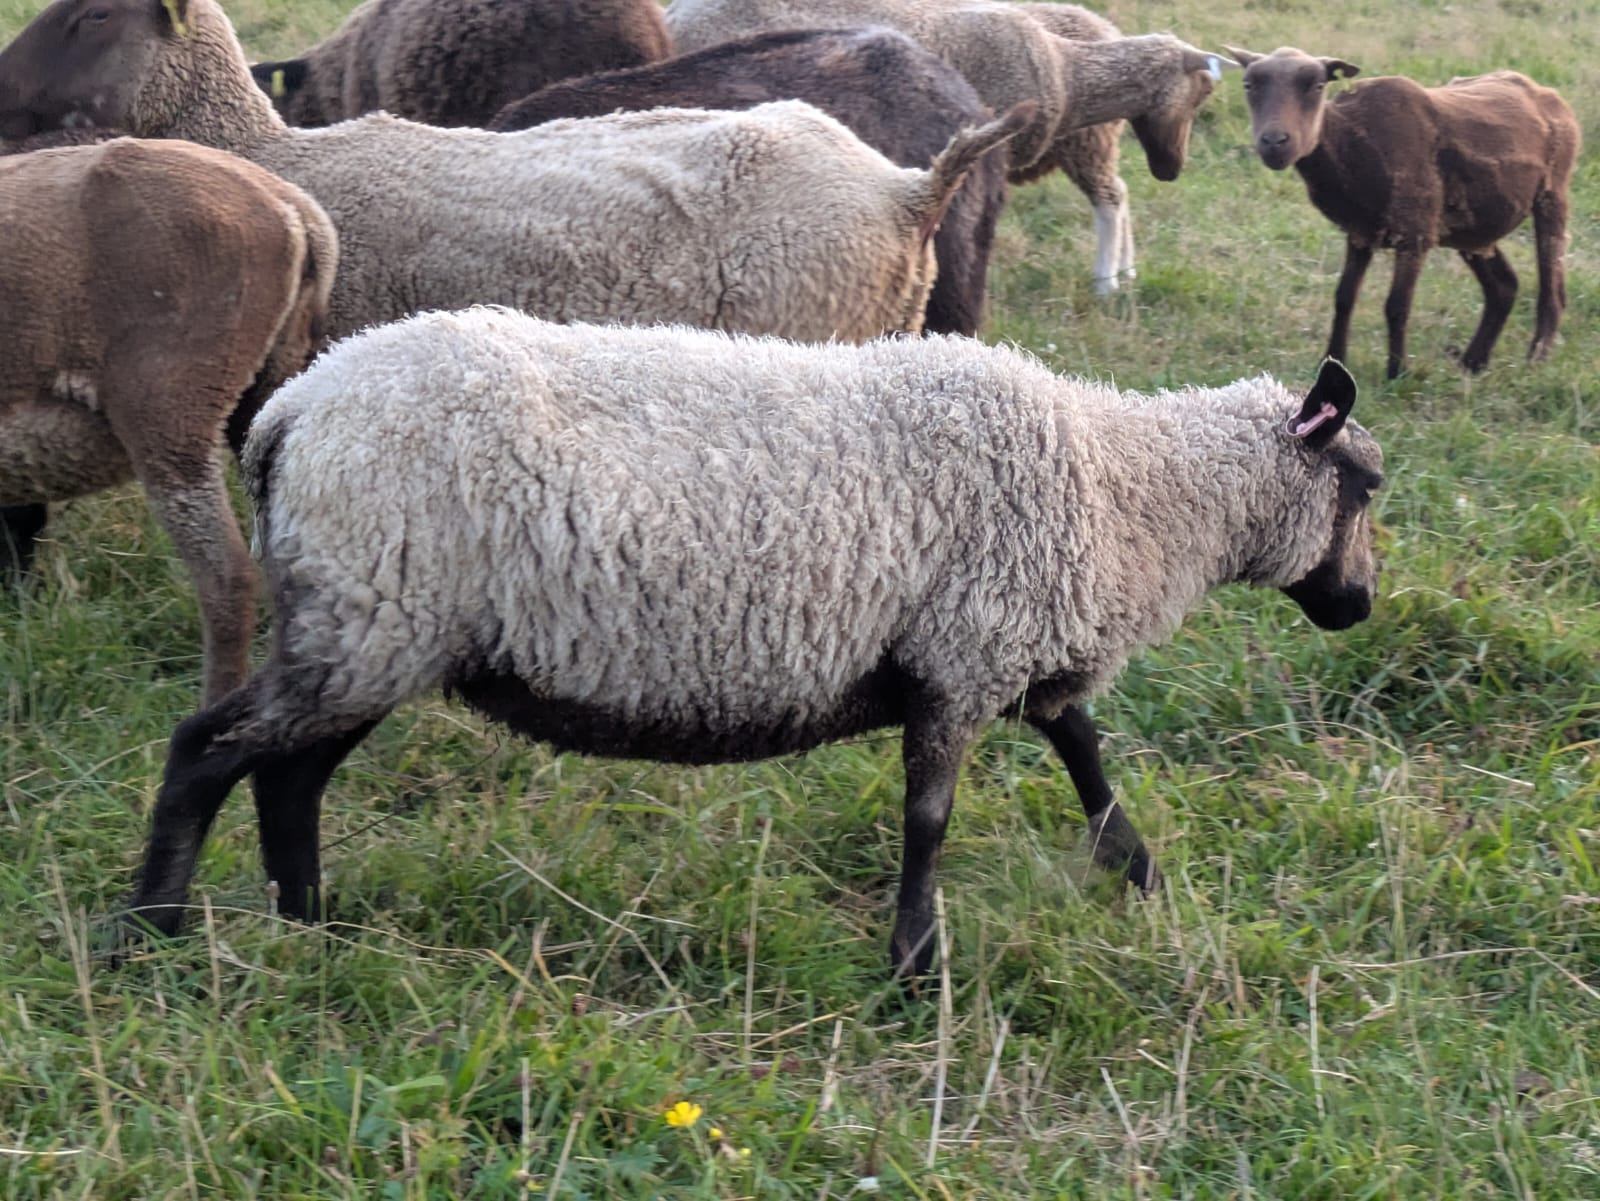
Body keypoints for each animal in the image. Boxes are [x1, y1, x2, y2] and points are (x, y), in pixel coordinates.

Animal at [120, 308, 1383, 979]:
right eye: (1364, 484)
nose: (1360, 607)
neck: (1130, 488)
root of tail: (293, 412)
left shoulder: (1010, 654)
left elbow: (1087, 757)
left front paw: (1136, 874)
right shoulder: (959, 661)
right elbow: (930, 818)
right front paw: (914, 962)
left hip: (370, 629)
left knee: (288, 773)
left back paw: (307, 920)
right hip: (368, 621)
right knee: (207, 750)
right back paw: (150, 933)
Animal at [1227, 46, 1580, 379]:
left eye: (1317, 86)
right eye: (1248, 85)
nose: (1275, 142)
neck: (1351, 142)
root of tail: (1546, 93)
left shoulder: (1414, 232)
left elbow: (1397, 305)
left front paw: (1397, 373)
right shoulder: (1360, 233)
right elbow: (1344, 297)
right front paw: (1332, 360)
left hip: (1552, 197)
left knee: (1553, 292)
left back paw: (1536, 361)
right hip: (1473, 229)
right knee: (1504, 286)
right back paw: (1473, 363)